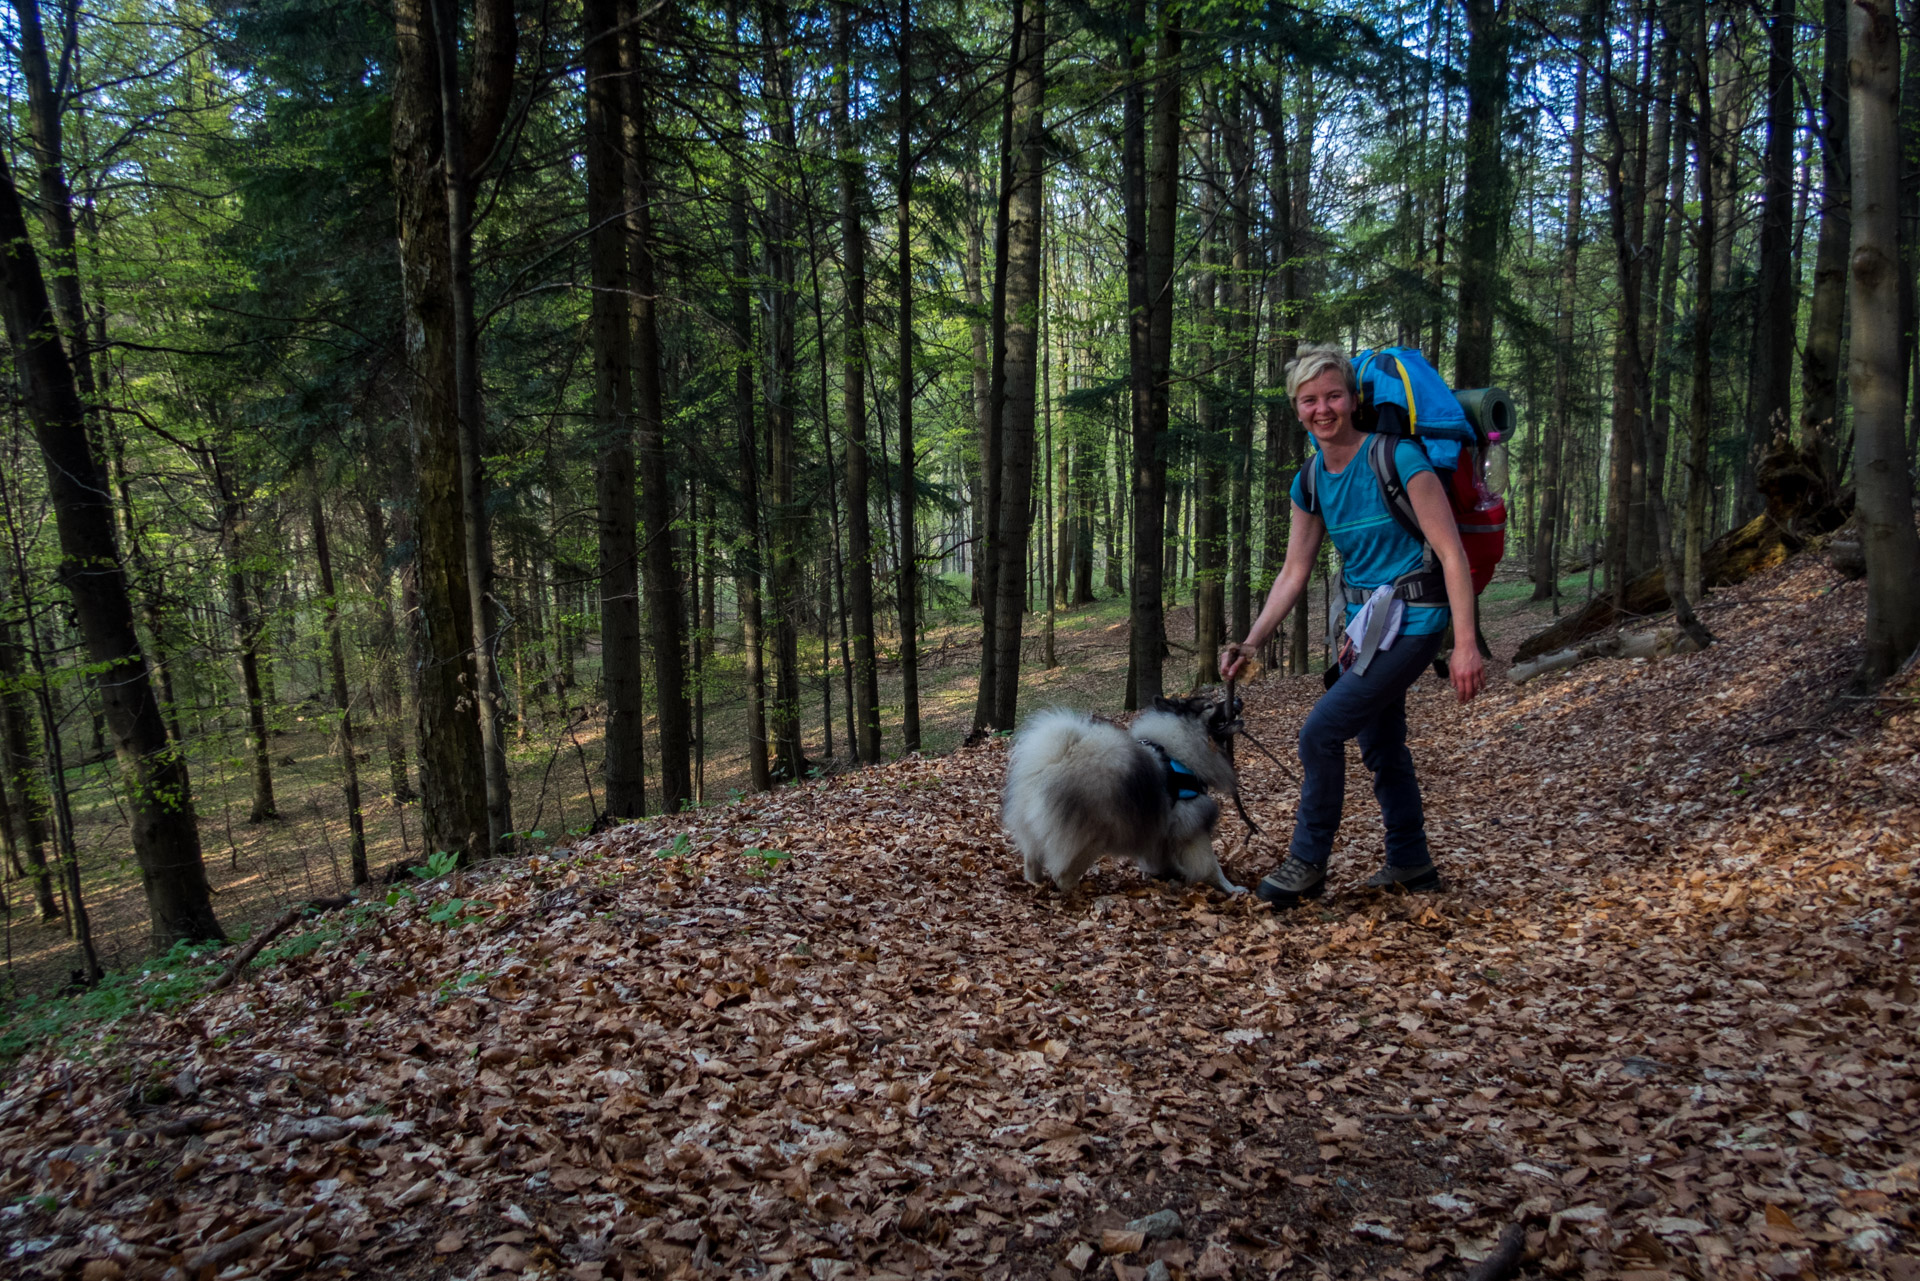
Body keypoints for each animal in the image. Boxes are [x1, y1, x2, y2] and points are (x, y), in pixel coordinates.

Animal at [1006, 695, 1244, 898]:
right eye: (1209, 706)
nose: (1238, 700)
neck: (1180, 752)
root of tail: (1054, 760)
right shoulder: (1192, 827)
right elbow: (1210, 865)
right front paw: (1231, 889)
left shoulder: (1160, 829)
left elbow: (1163, 858)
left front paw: (1170, 873)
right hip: (1091, 839)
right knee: (1063, 877)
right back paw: (1078, 894)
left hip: (1035, 832)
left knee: (1032, 861)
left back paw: (1035, 883)